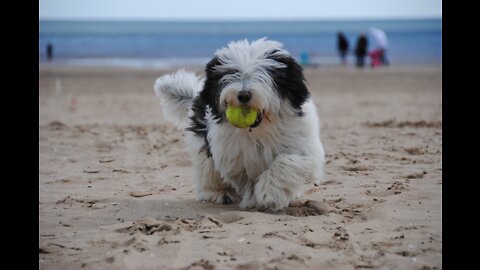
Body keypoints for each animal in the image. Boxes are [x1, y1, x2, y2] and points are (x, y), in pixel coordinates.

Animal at [156, 38, 324, 211]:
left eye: (264, 75)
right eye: (231, 74)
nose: (243, 95)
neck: (259, 130)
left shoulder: (302, 146)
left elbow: (287, 161)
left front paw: (269, 192)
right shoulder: (235, 158)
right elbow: (245, 180)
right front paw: (254, 199)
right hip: (204, 144)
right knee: (208, 170)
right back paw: (218, 192)